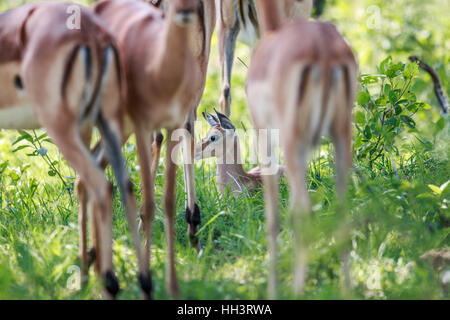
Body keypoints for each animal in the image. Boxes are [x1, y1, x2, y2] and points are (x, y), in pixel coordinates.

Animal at [248, 1, 356, 298]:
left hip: (291, 139)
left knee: (305, 211)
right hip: (341, 135)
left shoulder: (265, 136)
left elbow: (273, 217)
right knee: (341, 207)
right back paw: (345, 288)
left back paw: (299, 289)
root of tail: (324, 49)